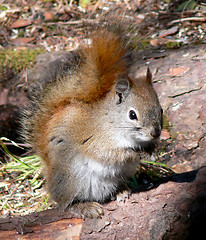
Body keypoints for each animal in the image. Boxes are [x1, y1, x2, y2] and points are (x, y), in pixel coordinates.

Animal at [20, 27, 163, 218]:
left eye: (161, 110)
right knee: (65, 203)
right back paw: (84, 207)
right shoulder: (96, 140)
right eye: (132, 115)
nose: (155, 133)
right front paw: (134, 154)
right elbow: (108, 154)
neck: (112, 122)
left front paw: (152, 149)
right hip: (72, 178)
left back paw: (121, 191)